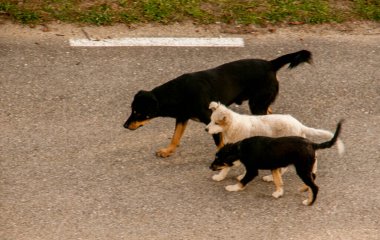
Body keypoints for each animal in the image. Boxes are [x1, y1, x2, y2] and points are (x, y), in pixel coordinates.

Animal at [124, 50, 312, 158]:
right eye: (132, 110)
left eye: (138, 112)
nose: (125, 126)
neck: (178, 93)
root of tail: (270, 64)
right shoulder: (182, 118)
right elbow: (175, 137)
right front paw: (167, 151)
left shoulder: (212, 121)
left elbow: (219, 143)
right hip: (260, 102)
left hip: (256, 104)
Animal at [205, 101, 344, 197]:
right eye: (210, 120)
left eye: (216, 123)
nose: (206, 129)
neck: (233, 126)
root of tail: (299, 124)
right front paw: (222, 176)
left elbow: (229, 166)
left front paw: (222, 176)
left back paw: (272, 178)